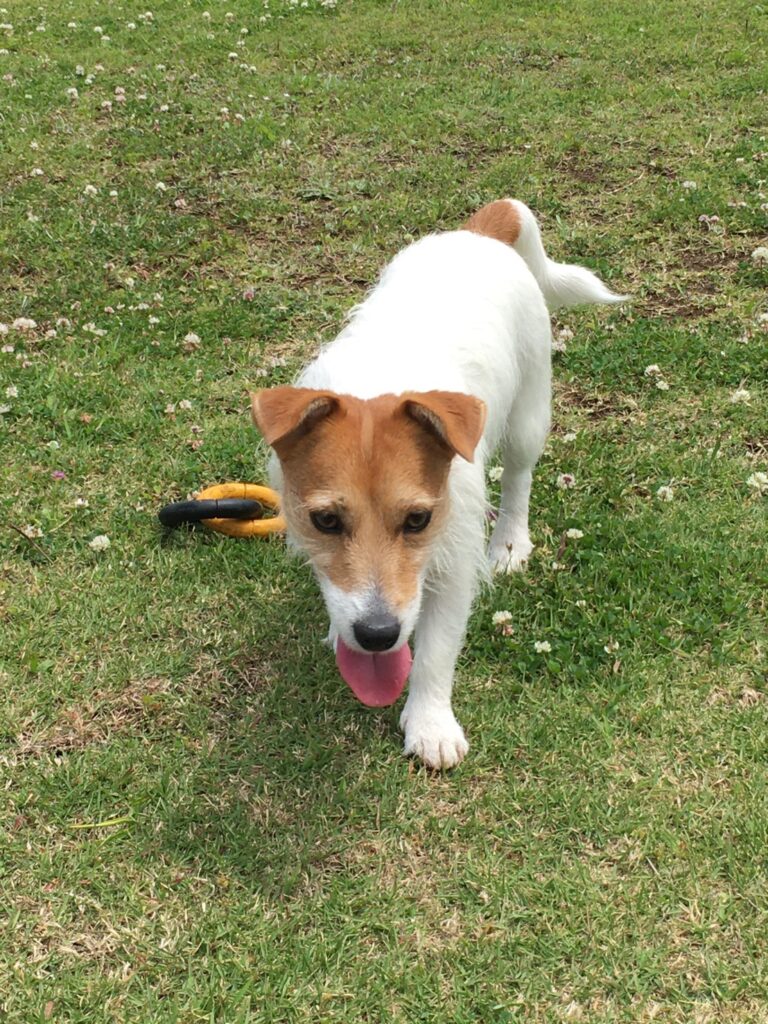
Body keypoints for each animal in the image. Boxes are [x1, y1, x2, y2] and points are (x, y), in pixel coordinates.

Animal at [251, 199, 626, 769]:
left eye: (418, 519)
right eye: (326, 520)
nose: (377, 635)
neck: (376, 381)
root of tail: (480, 231)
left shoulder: (452, 563)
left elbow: (436, 651)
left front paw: (431, 724)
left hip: (529, 412)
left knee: (518, 478)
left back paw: (512, 542)